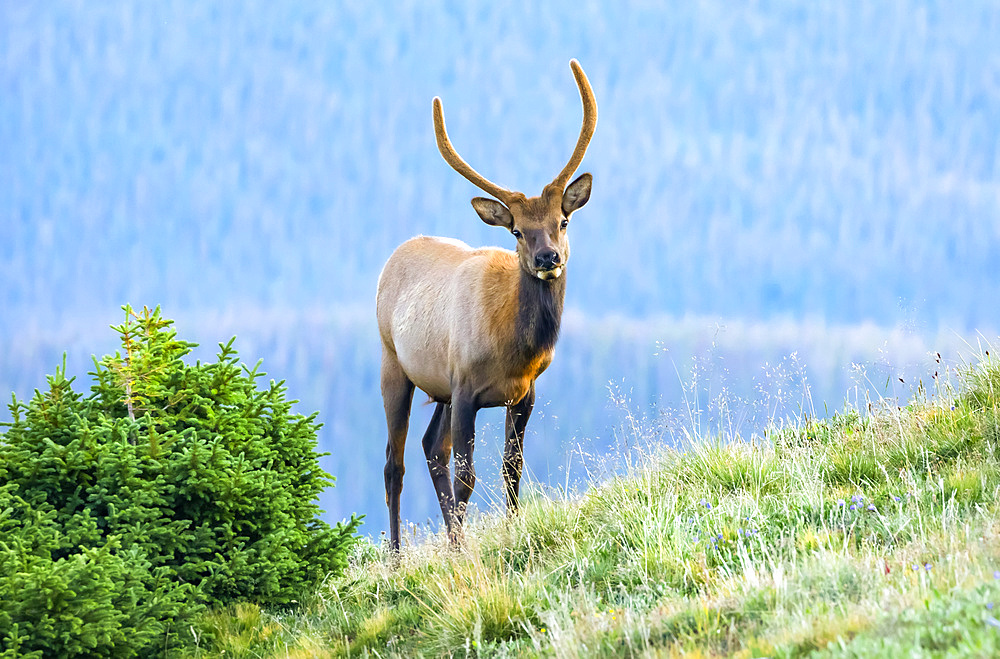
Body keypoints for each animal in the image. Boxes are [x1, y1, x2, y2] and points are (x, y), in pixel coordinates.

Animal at [376, 60, 592, 552]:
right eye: (516, 231)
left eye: (563, 221)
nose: (547, 258)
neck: (513, 350)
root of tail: (393, 256)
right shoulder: (465, 387)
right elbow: (467, 476)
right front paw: (463, 550)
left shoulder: (525, 393)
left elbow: (511, 468)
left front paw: (513, 529)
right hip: (394, 362)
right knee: (394, 462)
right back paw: (396, 555)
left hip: (436, 384)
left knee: (430, 448)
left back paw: (451, 537)